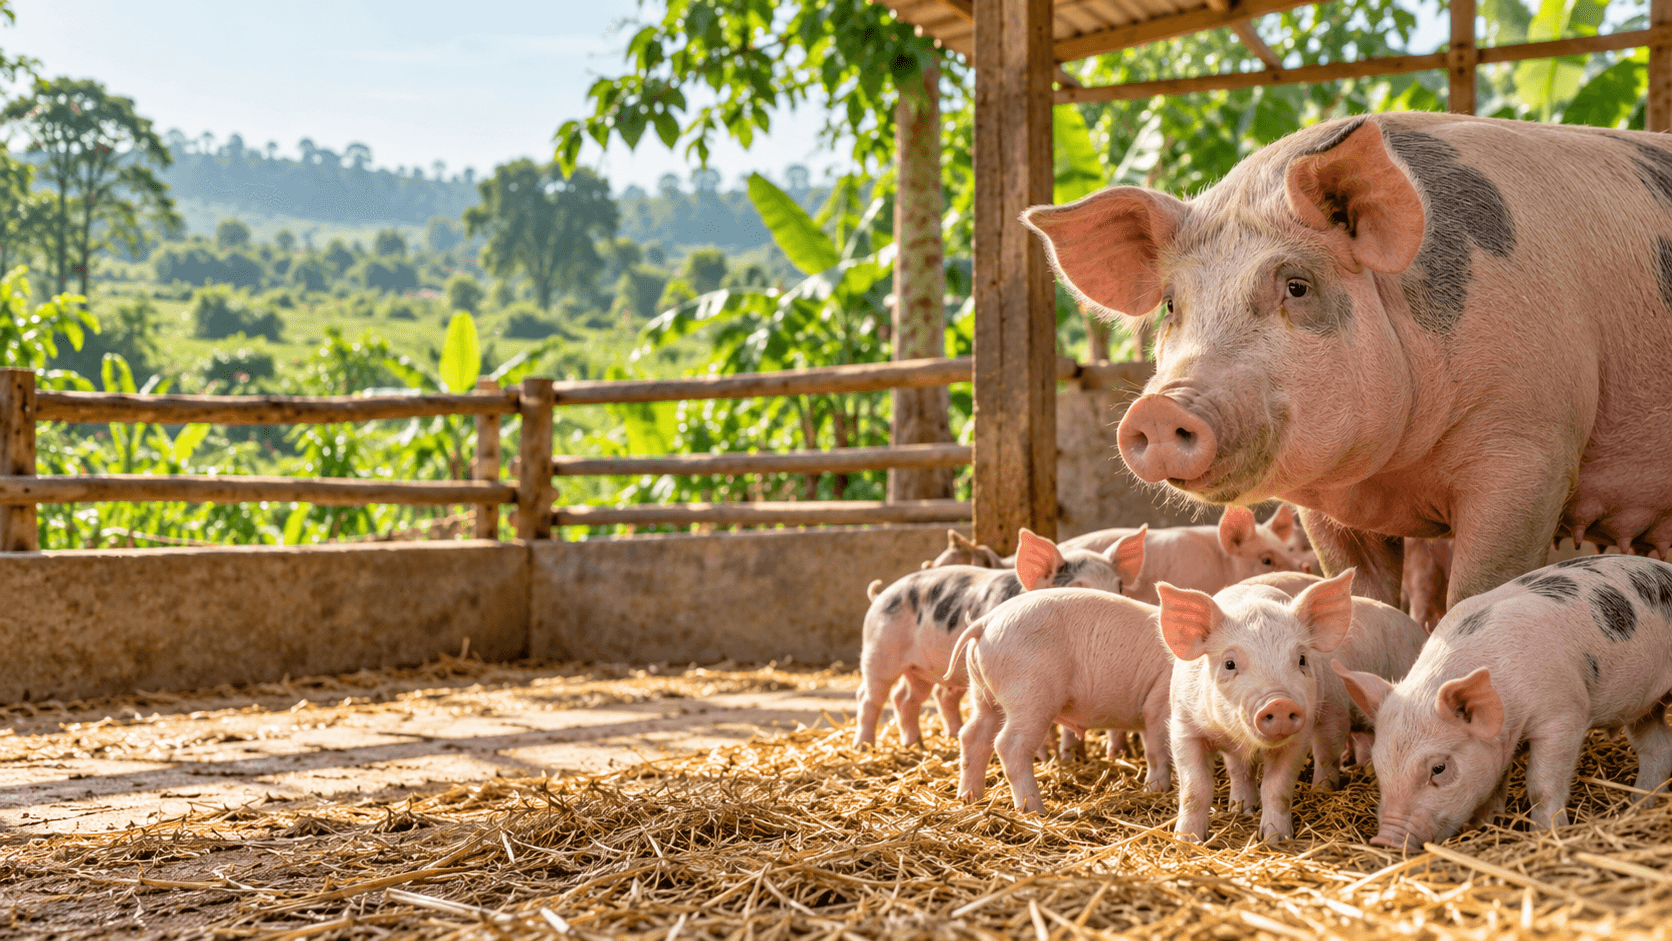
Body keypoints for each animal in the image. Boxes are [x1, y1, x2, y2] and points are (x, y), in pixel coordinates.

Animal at [856, 527, 1146, 747]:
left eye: (1120, 586)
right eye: (1078, 587)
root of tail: (880, 595)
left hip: (920, 669)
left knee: (905, 698)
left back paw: (915, 744)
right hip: (878, 651)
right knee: (869, 696)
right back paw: (865, 746)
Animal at [945, 588, 1175, 812]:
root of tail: (986, 621)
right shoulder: (1159, 702)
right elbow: (1159, 752)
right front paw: (1157, 791)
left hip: (983, 693)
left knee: (972, 735)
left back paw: (969, 798)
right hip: (1030, 693)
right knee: (1009, 745)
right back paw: (1035, 810)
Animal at [1022, 113, 1672, 611]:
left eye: (1296, 287)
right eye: (1170, 305)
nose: (1159, 409)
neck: (1395, 475)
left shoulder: (1532, 451)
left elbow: (1477, 592)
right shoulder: (1330, 511)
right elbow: (1361, 595)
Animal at [1160, 569, 1425, 841]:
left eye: (1302, 659)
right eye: (1229, 664)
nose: (1278, 703)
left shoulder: (1299, 737)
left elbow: (1277, 788)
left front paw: (1276, 839)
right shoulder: (1183, 726)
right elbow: (1195, 788)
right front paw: (1186, 839)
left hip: (1333, 707)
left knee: (1327, 753)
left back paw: (1321, 792)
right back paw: (1240, 809)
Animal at [1335, 554, 1672, 850]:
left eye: (1439, 768)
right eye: (1378, 764)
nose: (1385, 840)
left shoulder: (1564, 713)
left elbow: (1541, 784)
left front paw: (1544, 834)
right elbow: (1495, 785)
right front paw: (1486, 825)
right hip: (1644, 706)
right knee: (1657, 747)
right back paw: (1639, 805)